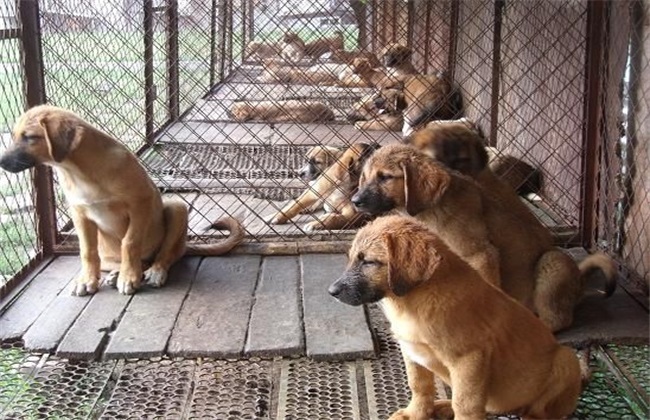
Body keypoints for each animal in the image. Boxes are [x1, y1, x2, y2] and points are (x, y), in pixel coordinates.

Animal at [0, 105, 243, 296]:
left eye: (30, 137)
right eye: (14, 135)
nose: (1, 162)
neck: (79, 173)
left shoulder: (139, 204)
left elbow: (130, 242)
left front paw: (129, 278)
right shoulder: (79, 214)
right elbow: (87, 251)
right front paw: (87, 280)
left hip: (177, 208)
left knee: (164, 255)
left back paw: (152, 272)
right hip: (107, 250)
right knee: (120, 258)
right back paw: (115, 273)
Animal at [326, 215, 580, 420]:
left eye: (369, 262)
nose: (332, 291)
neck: (411, 303)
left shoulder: (469, 359)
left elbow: (466, 403)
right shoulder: (411, 351)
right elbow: (419, 385)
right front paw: (415, 413)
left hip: (566, 360)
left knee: (540, 412)